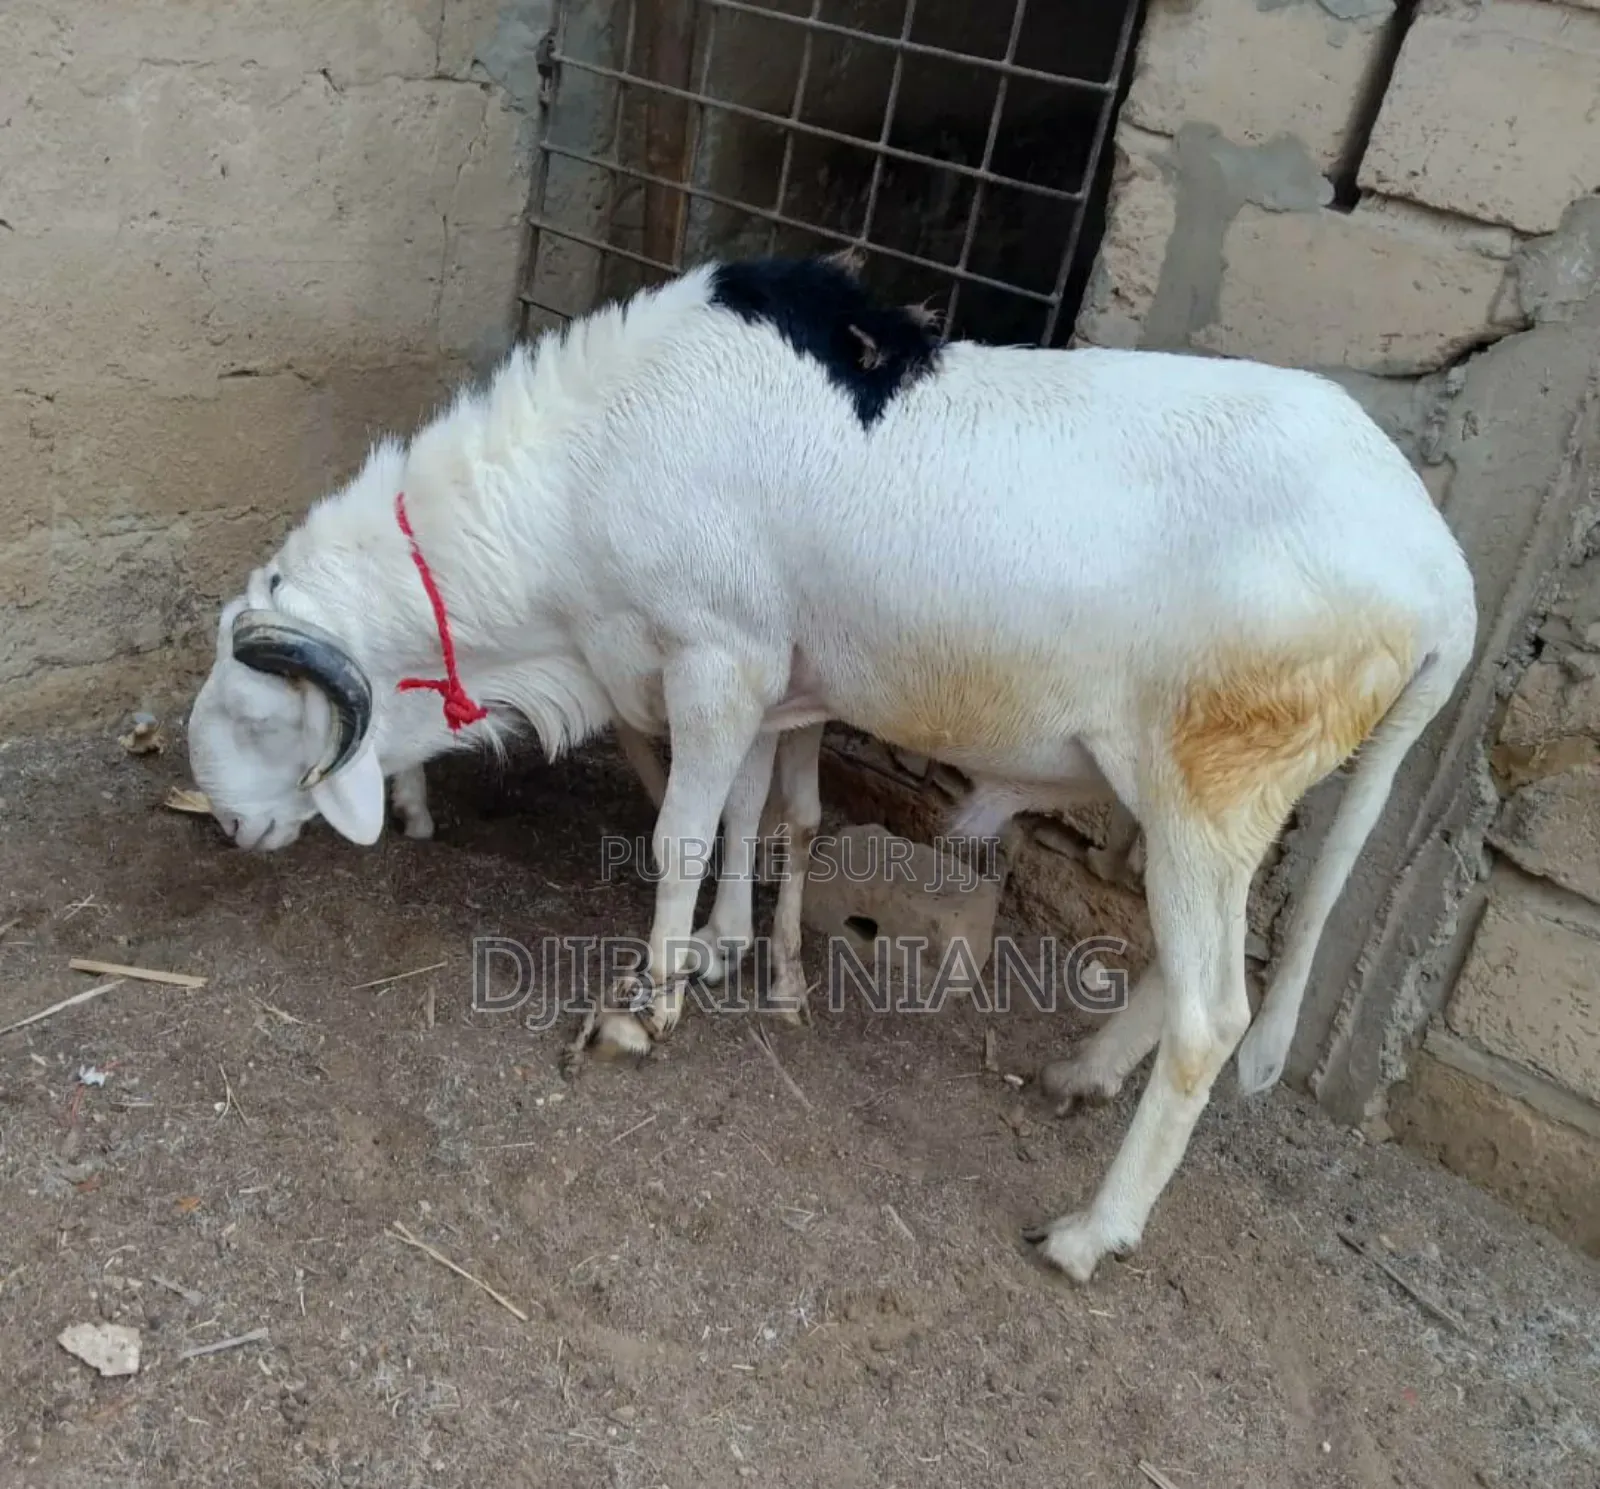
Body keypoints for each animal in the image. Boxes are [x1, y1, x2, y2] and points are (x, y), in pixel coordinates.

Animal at [186, 251, 1477, 1284]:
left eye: (252, 712)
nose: (226, 828)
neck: (583, 479)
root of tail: (1441, 573)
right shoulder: (771, 681)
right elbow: (762, 814)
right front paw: (728, 953)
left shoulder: (715, 658)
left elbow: (683, 833)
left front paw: (644, 1009)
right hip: (1223, 799)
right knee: (1193, 968)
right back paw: (1083, 1073)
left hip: (1213, 783)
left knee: (1216, 1015)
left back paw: (1089, 1232)